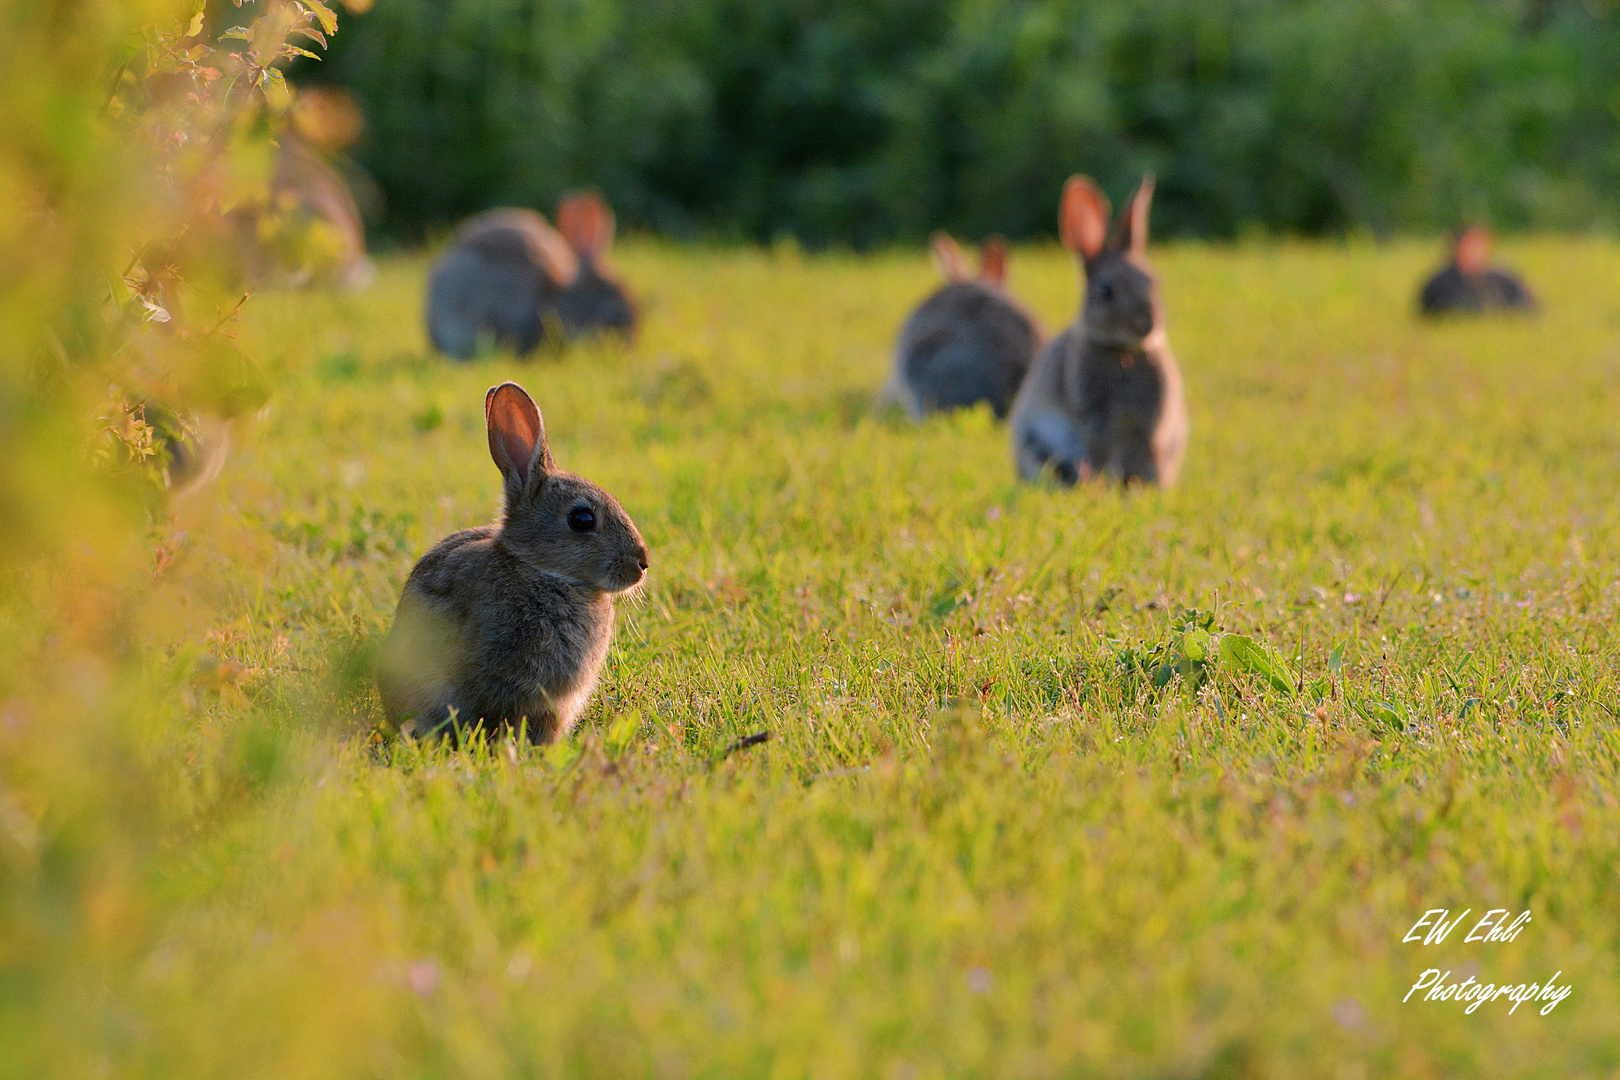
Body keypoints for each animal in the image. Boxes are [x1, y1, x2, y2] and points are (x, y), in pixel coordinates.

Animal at [1010, 175, 1192, 488]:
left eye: (1152, 281)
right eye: (1106, 291)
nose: (1148, 321)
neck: (1123, 353)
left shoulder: (1149, 426)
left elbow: (1146, 456)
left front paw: (1147, 488)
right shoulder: (1096, 423)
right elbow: (1102, 454)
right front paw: (1102, 486)